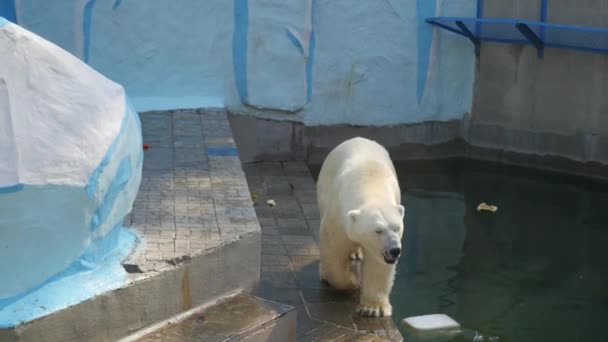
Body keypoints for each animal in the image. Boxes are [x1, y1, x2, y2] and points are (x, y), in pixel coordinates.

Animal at [316, 137, 406, 318]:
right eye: (378, 230)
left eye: (397, 228)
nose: (395, 250)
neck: (370, 183)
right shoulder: (338, 217)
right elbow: (333, 251)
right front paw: (353, 282)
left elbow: (377, 265)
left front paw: (373, 308)